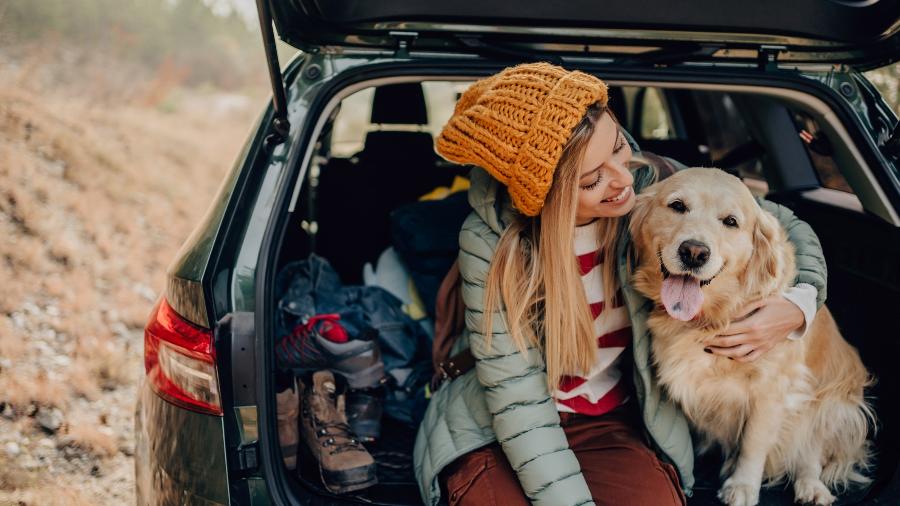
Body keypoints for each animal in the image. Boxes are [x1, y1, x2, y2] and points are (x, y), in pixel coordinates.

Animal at [628, 169, 876, 506]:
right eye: (677, 206)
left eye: (731, 221)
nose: (694, 252)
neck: (712, 316)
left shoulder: (772, 389)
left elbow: (753, 443)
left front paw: (743, 486)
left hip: (830, 404)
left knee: (810, 452)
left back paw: (812, 487)